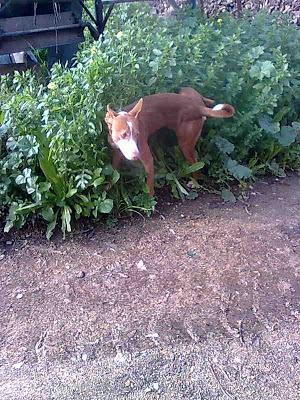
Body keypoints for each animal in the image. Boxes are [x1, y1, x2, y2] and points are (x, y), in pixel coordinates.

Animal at [105, 86, 234, 196]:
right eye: (124, 135)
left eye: (137, 134)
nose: (136, 155)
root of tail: (197, 107)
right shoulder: (116, 154)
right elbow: (113, 171)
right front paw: (108, 187)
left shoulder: (148, 160)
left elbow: (150, 185)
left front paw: (149, 202)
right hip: (187, 92)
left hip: (185, 144)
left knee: (196, 162)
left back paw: (195, 182)